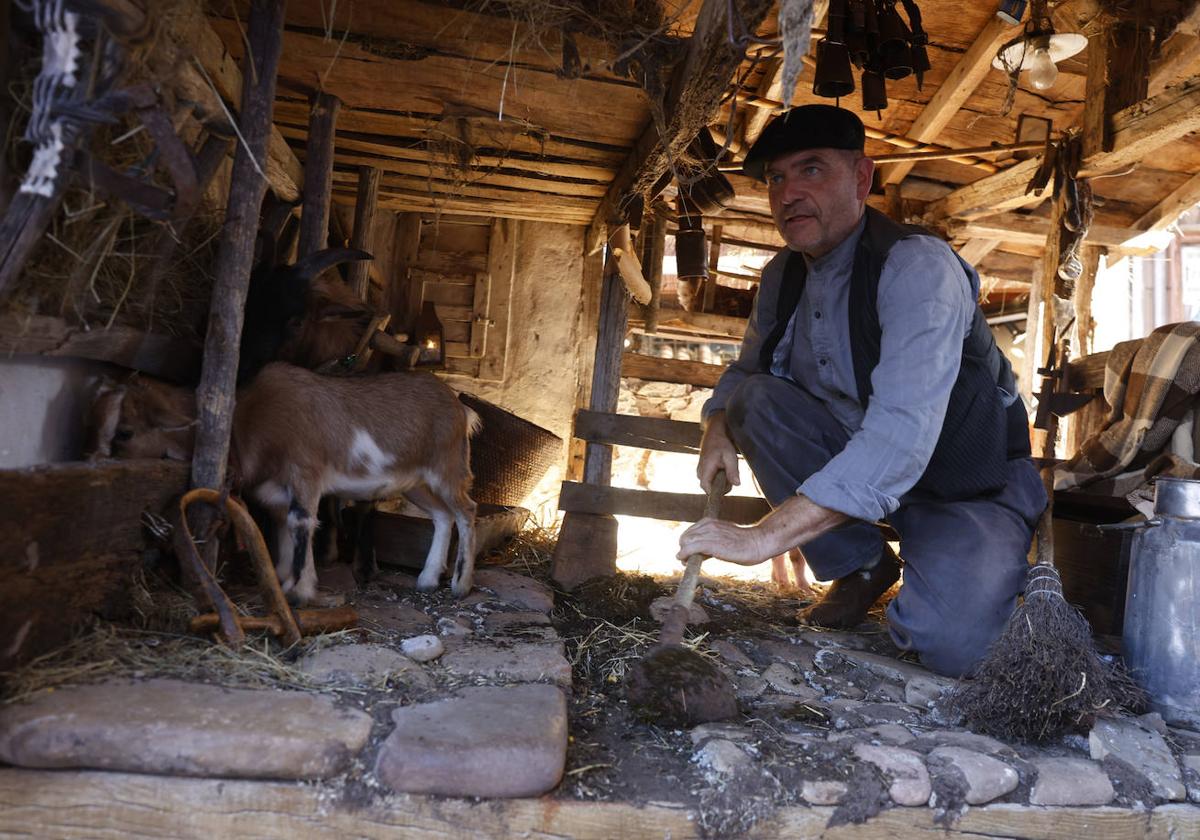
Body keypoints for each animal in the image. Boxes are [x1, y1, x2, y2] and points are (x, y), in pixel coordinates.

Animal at [87, 364, 480, 600]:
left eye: (124, 432)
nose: (92, 461)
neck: (247, 420)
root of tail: (460, 407)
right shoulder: (274, 489)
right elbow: (282, 526)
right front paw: (283, 577)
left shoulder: (305, 470)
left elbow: (300, 520)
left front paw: (299, 590)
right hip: (415, 481)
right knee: (442, 516)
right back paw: (428, 579)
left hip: (446, 467)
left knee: (467, 511)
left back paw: (460, 585)